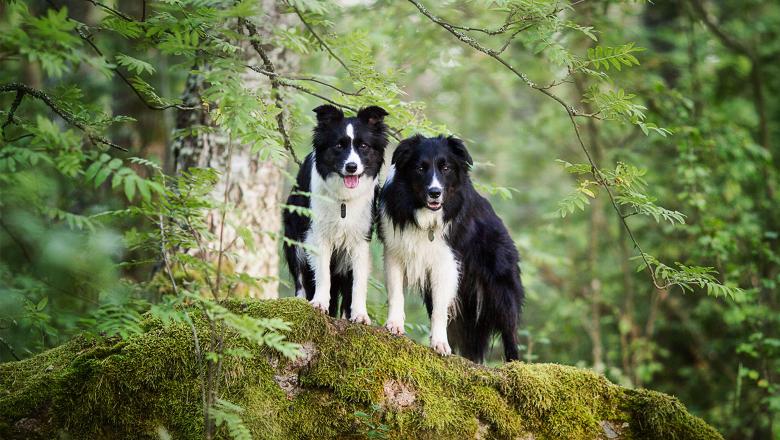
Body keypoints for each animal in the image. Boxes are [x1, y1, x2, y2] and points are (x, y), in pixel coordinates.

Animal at [282, 103, 388, 324]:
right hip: (294, 239)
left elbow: (358, 282)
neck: (343, 201)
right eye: (339, 146)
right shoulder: (317, 234)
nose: (352, 167)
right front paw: (319, 303)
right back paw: (301, 301)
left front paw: (360, 314)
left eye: (363, 146)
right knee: (301, 279)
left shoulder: (360, 239)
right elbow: (322, 273)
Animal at [378, 134, 524, 360]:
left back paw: (514, 364)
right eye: (420, 168)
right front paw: (394, 325)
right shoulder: (395, 252)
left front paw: (439, 344)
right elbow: (396, 293)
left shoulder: (446, 263)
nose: (435, 193)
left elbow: (440, 311)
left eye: (445, 168)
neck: (426, 218)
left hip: (502, 290)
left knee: (510, 331)